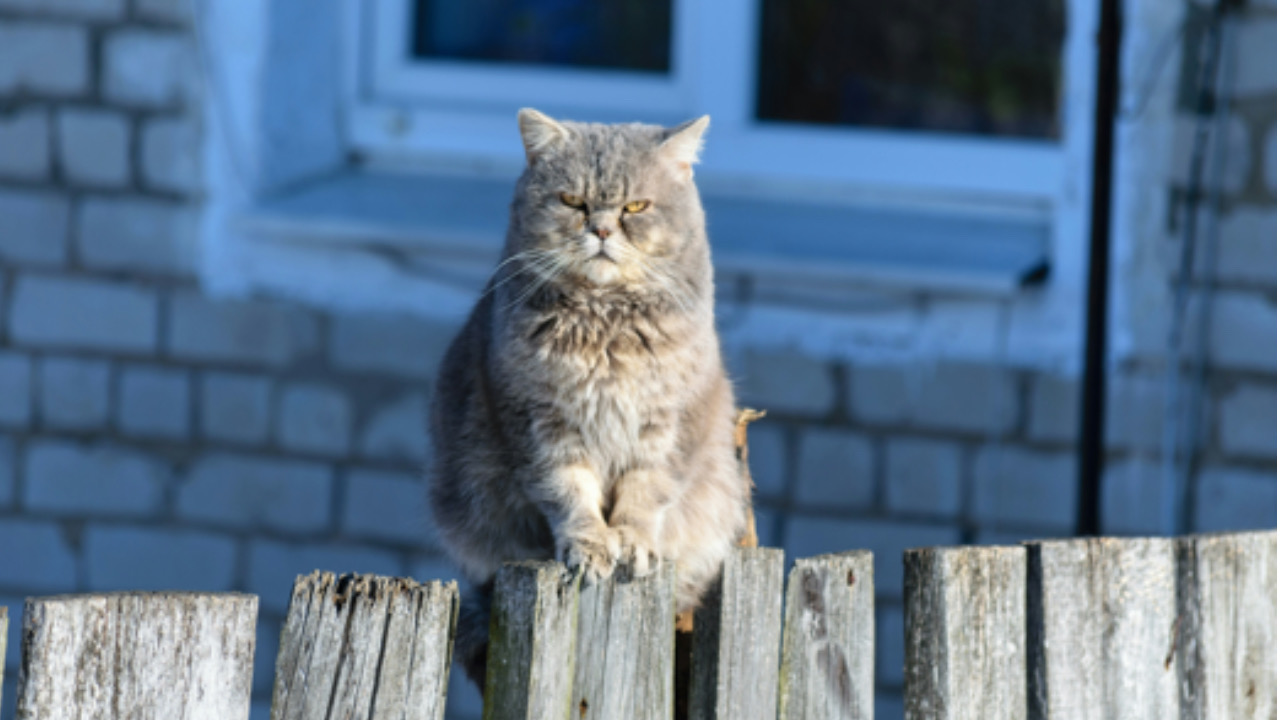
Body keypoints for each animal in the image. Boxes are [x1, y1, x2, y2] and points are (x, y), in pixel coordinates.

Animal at [430, 107, 747, 681]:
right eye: (572, 201)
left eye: (635, 206)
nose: (600, 229)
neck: (605, 322)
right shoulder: (540, 425)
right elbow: (568, 492)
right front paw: (590, 544)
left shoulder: (668, 428)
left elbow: (645, 494)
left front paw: (632, 542)